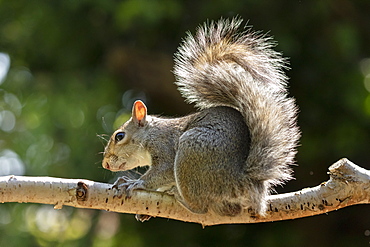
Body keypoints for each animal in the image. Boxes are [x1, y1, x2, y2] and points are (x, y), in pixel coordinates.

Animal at [101, 17, 300, 218]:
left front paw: (136, 182)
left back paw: (180, 198)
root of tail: (243, 181)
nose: (105, 165)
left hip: (191, 150)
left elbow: (163, 171)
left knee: (201, 207)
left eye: (119, 136)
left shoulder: (164, 147)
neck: (151, 133)